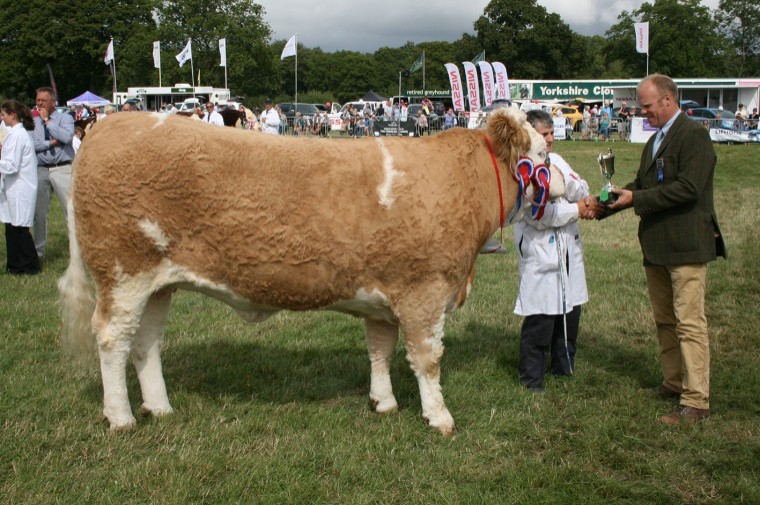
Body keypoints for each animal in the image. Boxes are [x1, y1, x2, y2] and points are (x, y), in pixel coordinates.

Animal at [60, 109, 548, 434]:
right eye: (542, 154)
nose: (559, 182)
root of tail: (109, 124)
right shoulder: (423, 290)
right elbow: (428, 359)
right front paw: (440, 418)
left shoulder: (383, 296)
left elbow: (380, 351)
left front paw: (383, 402)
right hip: (124, 271)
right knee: (112, 338)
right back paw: (121, 418)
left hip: (158, 283)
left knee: (146, 341)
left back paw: (159, 408)